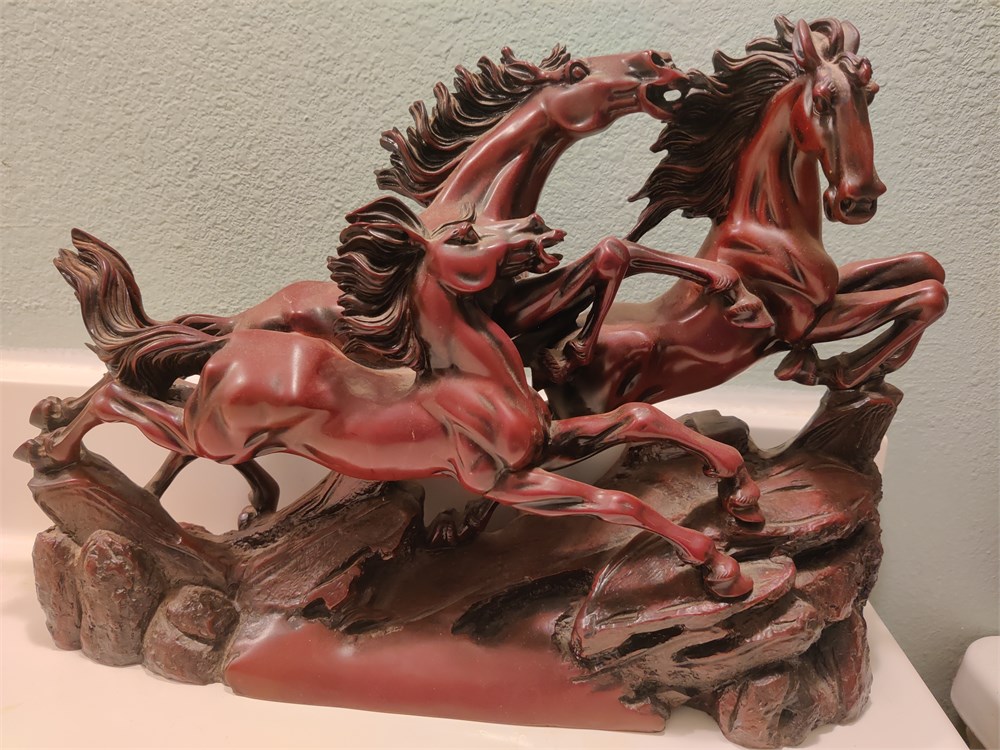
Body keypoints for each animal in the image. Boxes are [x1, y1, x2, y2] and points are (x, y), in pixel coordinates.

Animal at [23, 198, 754, 599]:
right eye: (465, 235)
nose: (539, 231)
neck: (476, 381)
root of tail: (237, 341)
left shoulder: (548, 441)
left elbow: (640, 413)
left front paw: (738, 491)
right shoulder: (507, 480)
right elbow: (619, 501)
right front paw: (722, 569)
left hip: (221, 428)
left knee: (152, 392)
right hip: (209, 430)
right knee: (123, 395)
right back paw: (54, 445)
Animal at [542, 17, 948, 418]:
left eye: (871, 95)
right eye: (821, 100)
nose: (859, 201)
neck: (768, 226)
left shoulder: (831, 289)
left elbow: (927, 267)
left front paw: (868, 367)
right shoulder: (806, 322)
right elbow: (929, 295)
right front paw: (836, 370)